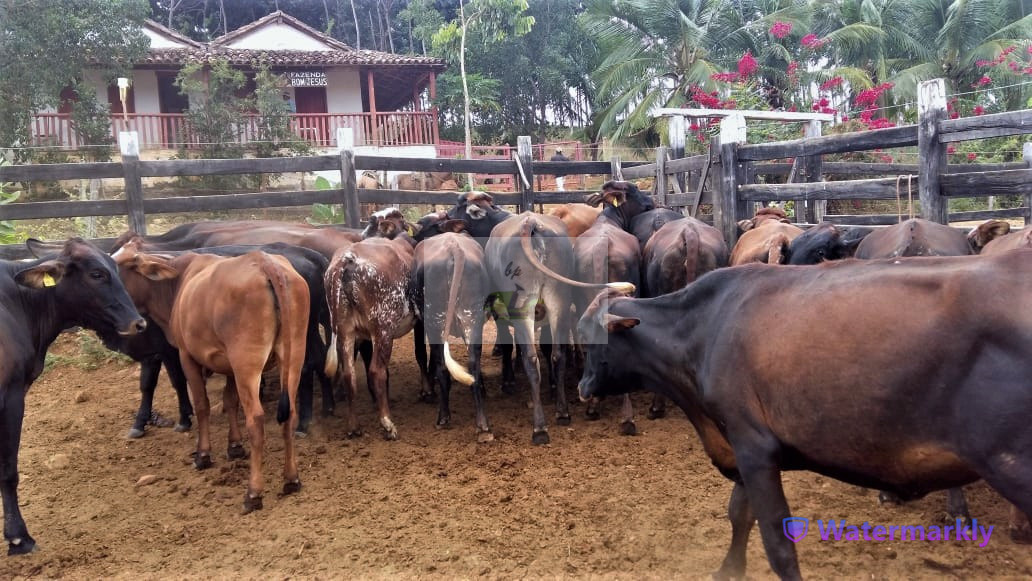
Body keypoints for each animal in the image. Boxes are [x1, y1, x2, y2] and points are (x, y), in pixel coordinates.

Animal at [116, 245, 309, 513]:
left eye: (112, 269)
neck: (180, 280)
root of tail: (264, 262)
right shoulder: (228, 365)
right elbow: (230, 401)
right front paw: (234, 446)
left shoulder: (187, 356)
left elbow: (202, 405)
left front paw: (203, 454)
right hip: (292, 358)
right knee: (289, 414)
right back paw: (291, 479)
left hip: (247, 362)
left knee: (256, 420)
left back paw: (253, 493)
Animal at [577, 255, 1032, 581]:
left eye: (587, 338)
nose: (581, 386)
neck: (703, 329)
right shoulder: (740, 443)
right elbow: (739, 514)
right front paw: (729, 569)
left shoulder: (753, 445)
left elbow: (776, 540)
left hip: (1011, 463)